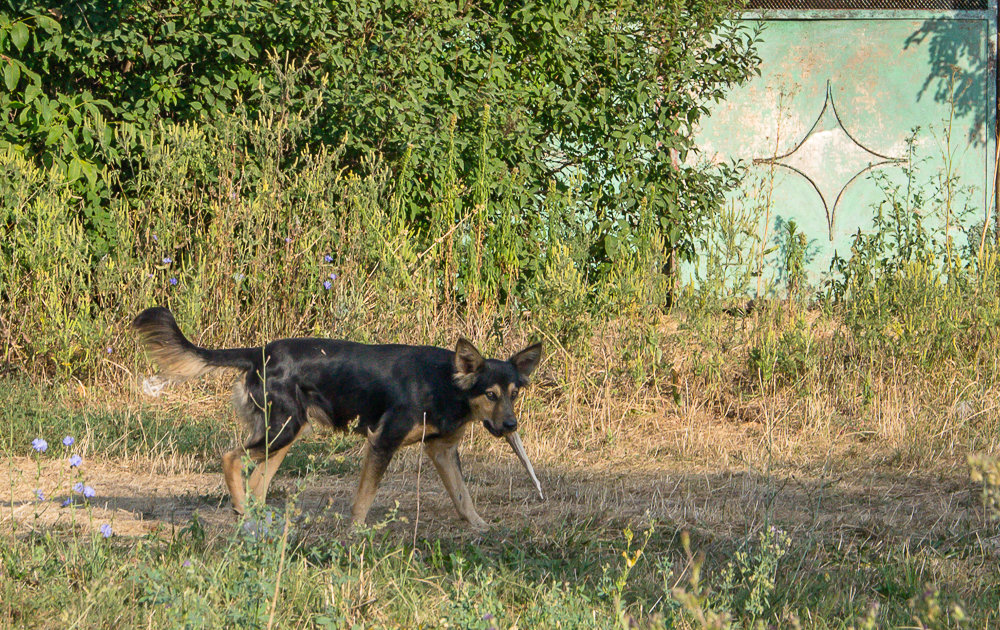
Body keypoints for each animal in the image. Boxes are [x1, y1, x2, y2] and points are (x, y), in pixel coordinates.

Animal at [131, 308, 548, 532]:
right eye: (490, 395)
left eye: (514, 394)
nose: (511, 427)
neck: (445, 382)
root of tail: (258, 352)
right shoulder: (383, 441)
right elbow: (365, 496)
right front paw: (356, 531)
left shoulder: (441, 451)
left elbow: (462, 496)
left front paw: (478, 525)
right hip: (282, 429)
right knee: (231, 458)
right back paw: (241, 511)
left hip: (284, 432)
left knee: (259, 478)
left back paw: (259, 518)